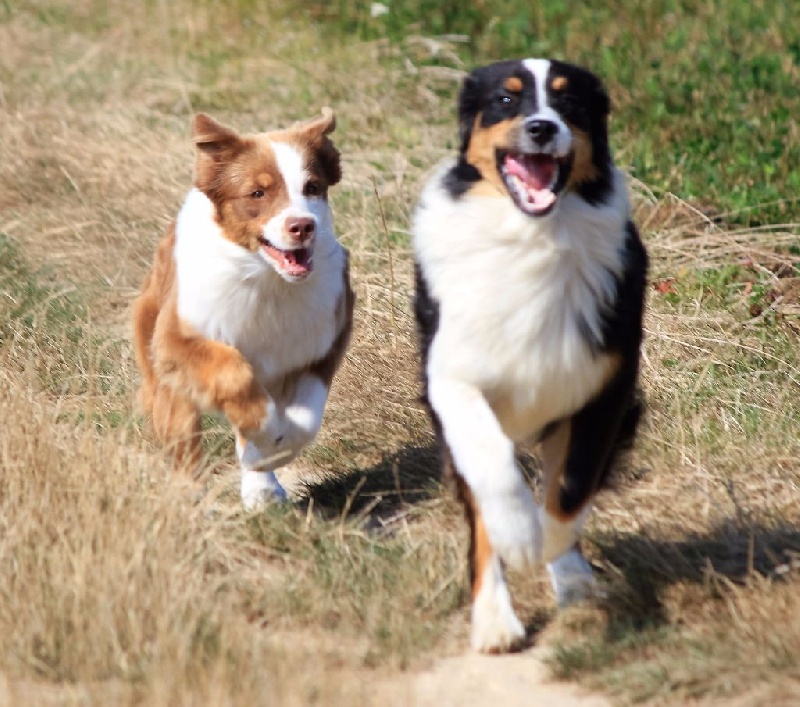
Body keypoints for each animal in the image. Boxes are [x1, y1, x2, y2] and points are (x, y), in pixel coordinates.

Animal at [134, 109, 354, 508]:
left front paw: (269, 454)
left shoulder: (326, 335)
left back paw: (263, 490)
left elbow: (307, 414)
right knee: (180, 427)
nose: (303, 226)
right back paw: (188, 493)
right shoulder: (177, 337)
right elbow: (233, 372)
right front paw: (268, 434)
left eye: (312, 187)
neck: (268, 281)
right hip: (159, 353)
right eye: (257, 193)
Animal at [416, 59, 648, 652]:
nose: (543, 127)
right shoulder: (451, 374)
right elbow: (492, 467)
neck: (530, 235)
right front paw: (518, 537)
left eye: (569, 103)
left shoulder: (606, 384)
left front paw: (552, 551)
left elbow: (571, 487)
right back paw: (496, 621)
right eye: (505, 99)